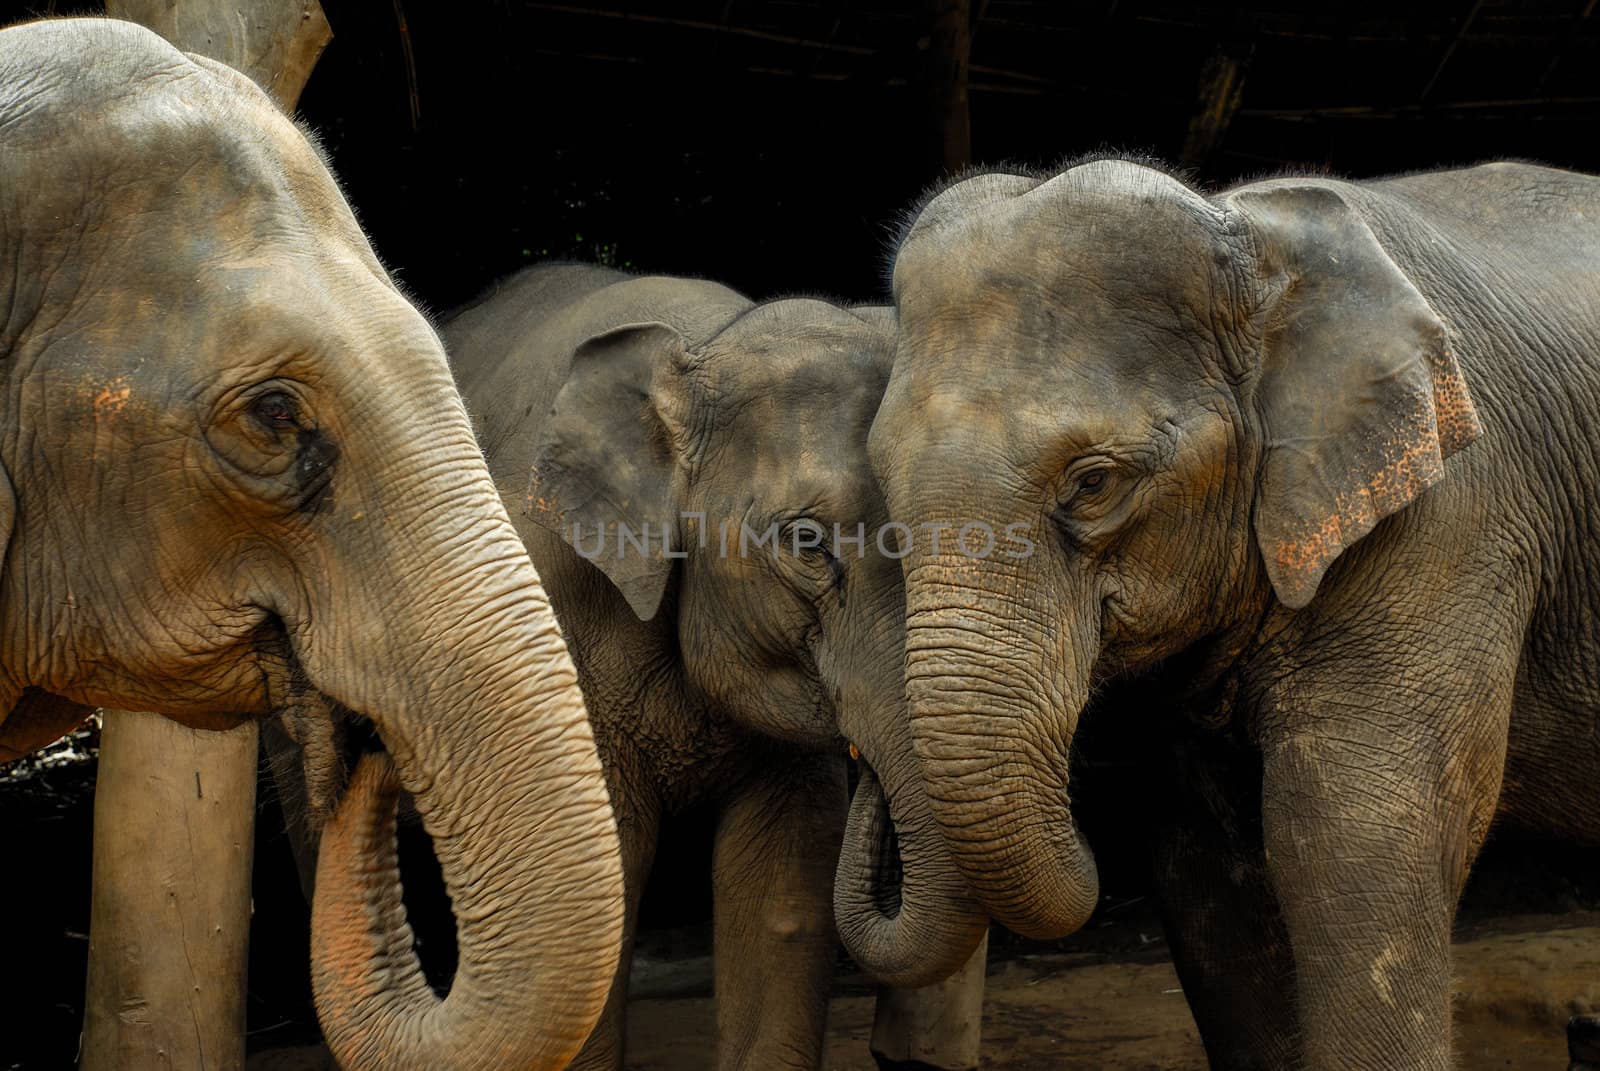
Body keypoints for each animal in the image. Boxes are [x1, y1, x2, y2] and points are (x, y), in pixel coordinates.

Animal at [870, 152, 1600, 1069]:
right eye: (880, 483)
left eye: (1094, 482)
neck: (1247, 232)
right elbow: (1206, 867)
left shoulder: (1450, 521)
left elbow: (1351, 838)